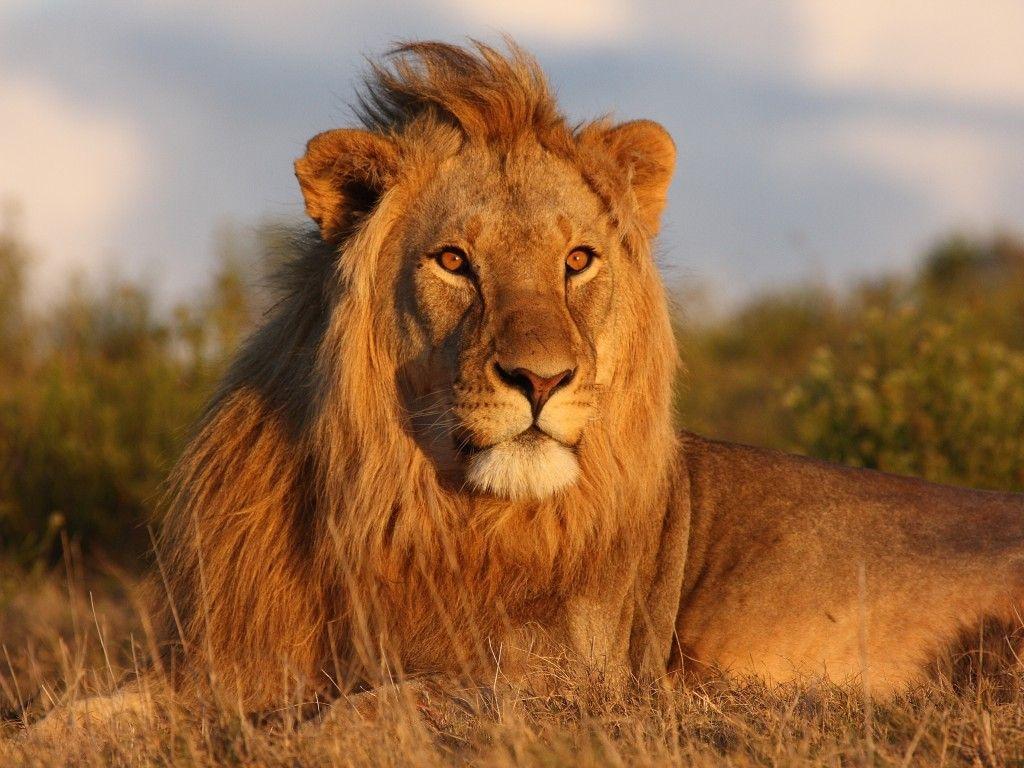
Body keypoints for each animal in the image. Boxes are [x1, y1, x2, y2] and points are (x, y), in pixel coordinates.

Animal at [140, 40, 1024, 715]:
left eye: (577, 261)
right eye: (454, 261)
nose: (541, 380)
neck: (418, 510)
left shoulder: (563, 675)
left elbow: (369, 706)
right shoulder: (234, 659)